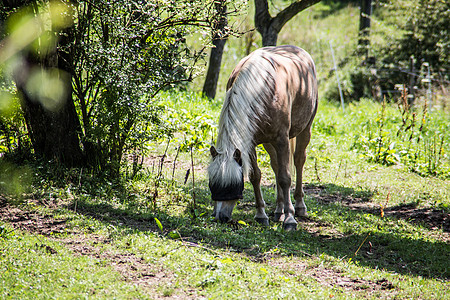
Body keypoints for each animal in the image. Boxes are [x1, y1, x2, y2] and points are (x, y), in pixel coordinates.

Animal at [207, 44, 316, 231]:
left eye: (232, 186)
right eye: (212, 184)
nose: (220, 217)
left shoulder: (282, 140)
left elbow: (285, 178)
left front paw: (290, 219)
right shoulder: (248, 143)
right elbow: (255, 176)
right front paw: (261, 215)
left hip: (304, 130)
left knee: (298, 161)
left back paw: (299, 207)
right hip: (268, 142)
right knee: (276, 166)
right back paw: (279, 210)